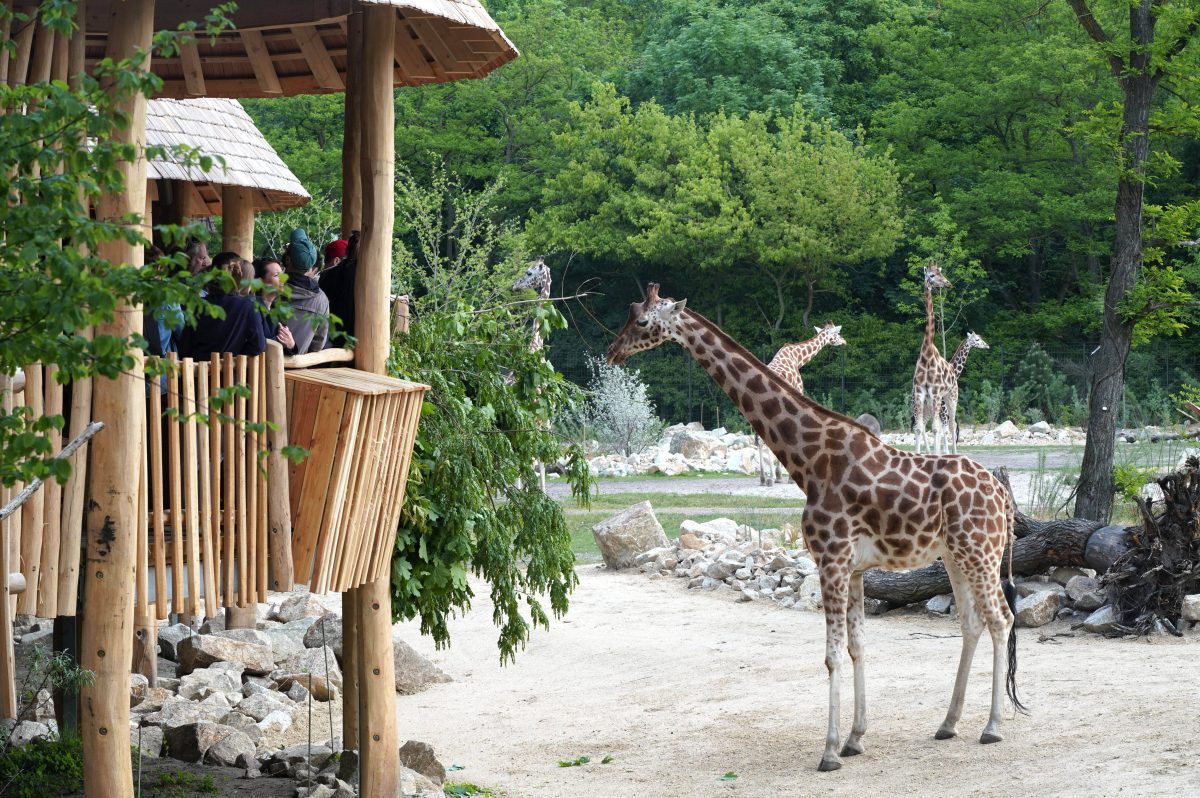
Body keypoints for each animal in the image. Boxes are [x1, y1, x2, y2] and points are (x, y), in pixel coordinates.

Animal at [758, 319, 844, 482]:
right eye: (837, 333)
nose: (844, 341)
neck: (798, 359)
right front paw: (789, 477)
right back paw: (771, 478)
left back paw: (764, 478)